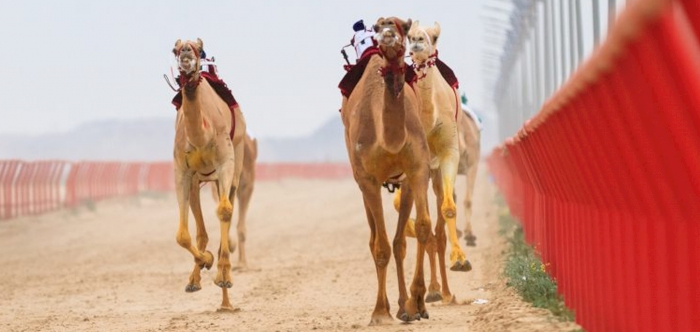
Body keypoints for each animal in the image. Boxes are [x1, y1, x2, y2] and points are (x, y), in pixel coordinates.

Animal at [171, 39, 247, 312]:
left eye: (196, 45)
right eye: (175, 48)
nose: (185, 52)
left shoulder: (226, 164)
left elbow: (224, 211)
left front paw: (222, 275)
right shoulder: (182, 172)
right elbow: (183, 235)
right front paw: (206, 261)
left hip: (236, 168)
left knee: (228, 210)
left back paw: (225, 294)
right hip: (198, 182)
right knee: (201, 231)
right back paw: (197, 279)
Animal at [342, 17, 434, 324]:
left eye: (403, 25)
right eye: (379, 24)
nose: (387, 35)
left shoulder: (418, 170)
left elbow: (421, 229)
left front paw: (417, 303)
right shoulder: (368, 179)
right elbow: (379, 246)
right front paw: (380, 313)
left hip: (405, 183)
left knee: (399, 242)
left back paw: (406, 305)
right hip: (361, 182)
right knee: (376, 241)